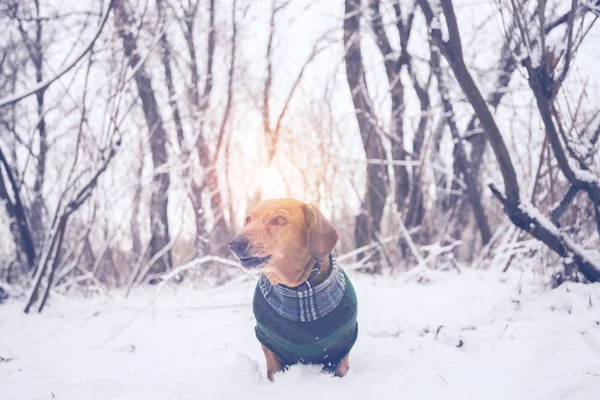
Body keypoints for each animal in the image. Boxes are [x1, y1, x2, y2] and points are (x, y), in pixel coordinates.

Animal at [229, 199, 356, 382]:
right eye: (248, 219)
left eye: (279, 219)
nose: (235, 244)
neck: (297, 291)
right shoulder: (267, 343)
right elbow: (273, 370)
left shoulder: (343, 345)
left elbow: (341, 369)